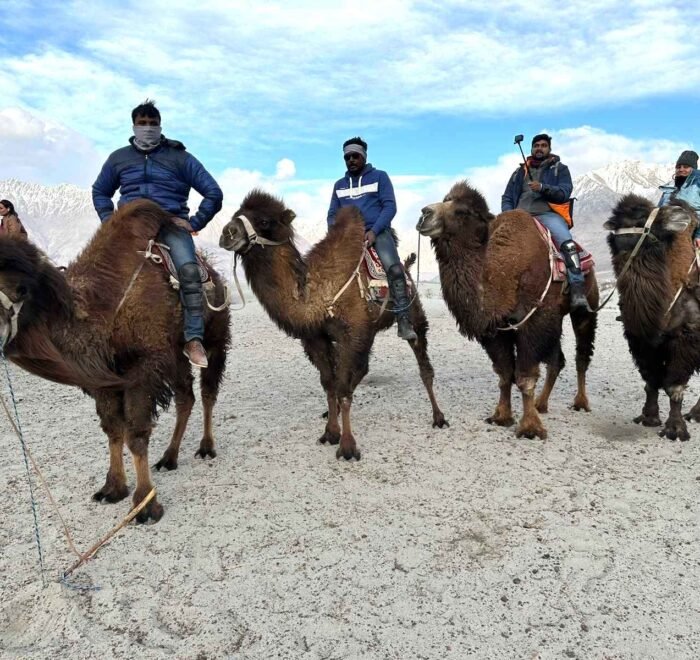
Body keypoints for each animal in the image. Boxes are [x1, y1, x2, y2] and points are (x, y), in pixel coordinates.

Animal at [0, 200, 230, 522]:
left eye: (16, 288)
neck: (102, 311)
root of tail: (213, 273)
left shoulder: (142, 369)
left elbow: (136, 433)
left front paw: (145, 504)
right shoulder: (105, 379)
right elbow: (112, 430)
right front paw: (113, 489)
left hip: (215, 337)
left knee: (208, 392)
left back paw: (206, 447)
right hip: (175, 355)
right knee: (186, 398)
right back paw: (169, 457)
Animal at [218, 189, 447, 460]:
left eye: (264, 221)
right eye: (236, 213)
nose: (227, 233)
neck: (316, 293)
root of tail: (407, 267)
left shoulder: (352, 335)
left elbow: (343, 388)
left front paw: (348, 447)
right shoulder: (317, 338)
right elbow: (330, 384)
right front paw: (330, 432)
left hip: (413, 313)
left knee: (423, 364)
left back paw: (439, 417)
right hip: (368, 333)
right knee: (361, 370)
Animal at [417, 180, 599, 439]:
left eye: (463, 211)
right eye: (446, 199)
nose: (425, 213)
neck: (505, 272)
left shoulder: (533, 322)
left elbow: (524, 376)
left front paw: (530, 428)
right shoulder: (496, 328)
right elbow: (504, 374)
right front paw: (501, 416)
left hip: (584, 308)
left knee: (581, 354)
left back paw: (580, 403)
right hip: (554, 319)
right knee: (557, 360)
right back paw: (542, 404)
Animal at [604, 195, 700, 440]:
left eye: (645, 222)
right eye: (615, 229)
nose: (626, 244)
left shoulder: (687, 335)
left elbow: (674, 386)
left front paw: (675, 430)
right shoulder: (639, 338)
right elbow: (651, 379)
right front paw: (648, 417)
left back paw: (695, 415)